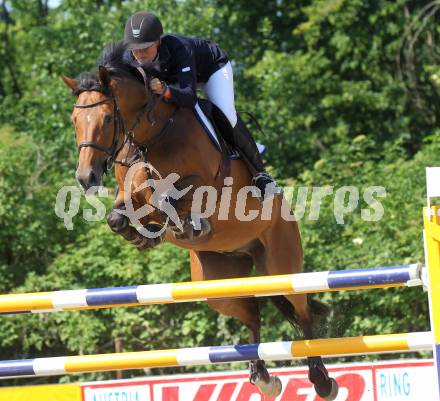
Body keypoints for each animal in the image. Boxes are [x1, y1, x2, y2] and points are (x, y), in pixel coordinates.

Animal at [61, 42, 336, 398]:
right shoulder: (125, 195)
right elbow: (119, 216)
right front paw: (146, 234)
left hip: (282, 266)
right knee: (252, 314)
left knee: (302, 313)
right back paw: (263, 377)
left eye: (107, 118)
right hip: (219, 285)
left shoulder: (207, 187)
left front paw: (180, 223)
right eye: (74, 119)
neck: (152, 135)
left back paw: (321, 379)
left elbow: (165, 197)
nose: (86, 177)